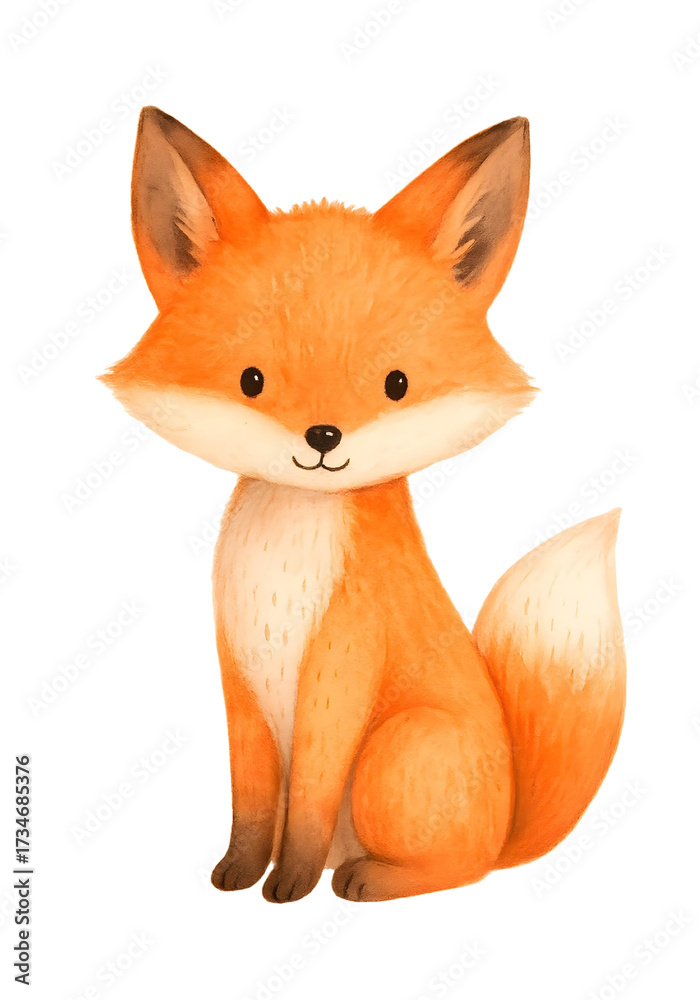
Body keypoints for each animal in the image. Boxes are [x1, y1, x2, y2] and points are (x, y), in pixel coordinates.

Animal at [101, 107, 626, 903]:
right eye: (252, 380)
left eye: (396, 384)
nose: (323, 437)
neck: (285, 565)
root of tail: (508, 826)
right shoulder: (239, 677)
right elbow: (253, 801)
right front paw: (239, 871)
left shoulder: (340, 670)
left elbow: (311, 802)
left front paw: (287, 884)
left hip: (397, 748)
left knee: (457, 871)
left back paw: (363, 878)